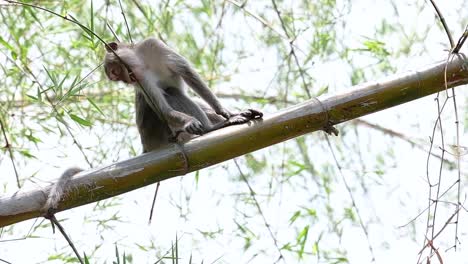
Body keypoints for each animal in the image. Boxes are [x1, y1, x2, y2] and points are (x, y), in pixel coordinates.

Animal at [103, 38, 264, 152]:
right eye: (116, 77)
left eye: (115, 72)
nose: (125, 81)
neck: (142, 62)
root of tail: (147, 146)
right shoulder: (141, 81)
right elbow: (164, 110)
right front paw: (191, 121)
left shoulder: (153, 45)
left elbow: (188, 74)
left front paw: (226, 112)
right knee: (171, 92)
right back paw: (212, 128)